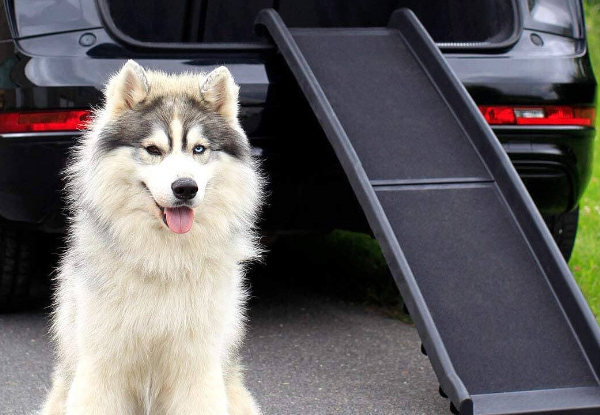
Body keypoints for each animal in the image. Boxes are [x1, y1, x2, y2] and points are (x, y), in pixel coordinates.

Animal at [42, 61, 264, 415]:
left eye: (199, 149)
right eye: (153, 150)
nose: (185, 188)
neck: (163, 259)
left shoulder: (196, 367)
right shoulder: (102, 367)